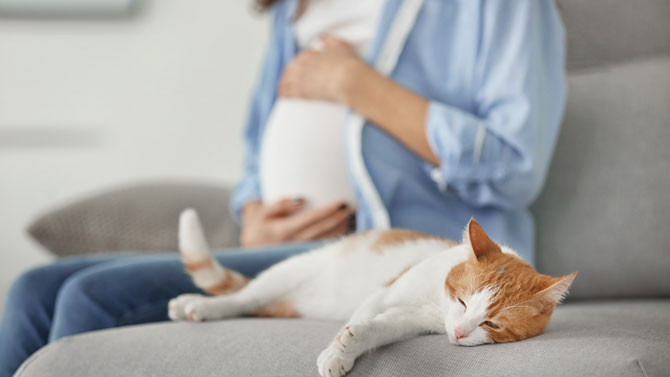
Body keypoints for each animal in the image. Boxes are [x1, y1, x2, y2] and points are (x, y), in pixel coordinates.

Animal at [168, 209, 576, 376]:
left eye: (491, 324)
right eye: (462, 300)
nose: (460, 333)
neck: (434, 305)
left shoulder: (406, 320)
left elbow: (377, 329)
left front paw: (351, 343)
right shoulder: (384, 295)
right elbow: (360, 319)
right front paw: (337, 352)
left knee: (253, 305)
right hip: (287, 273)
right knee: (242, 297)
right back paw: (198, 305)